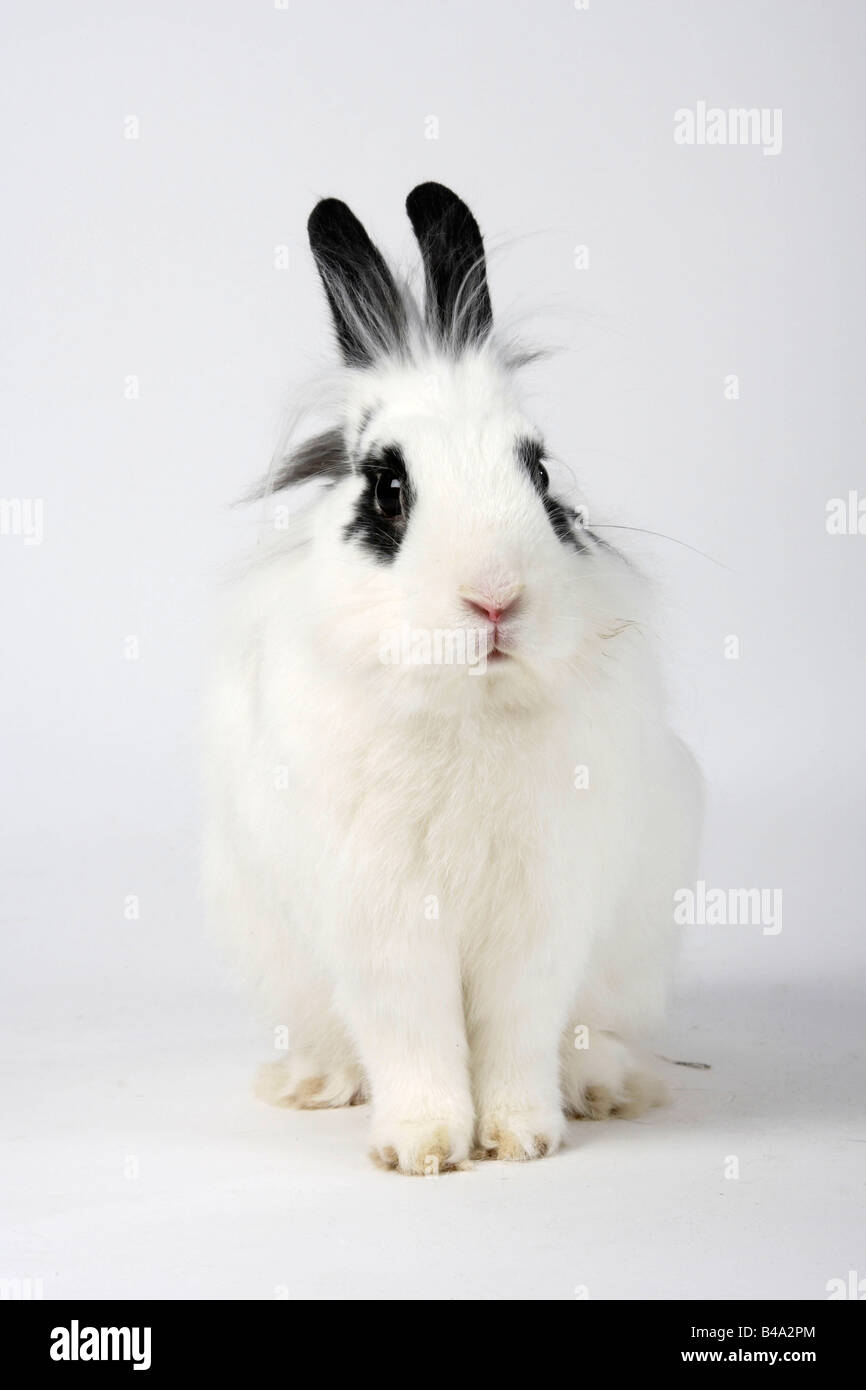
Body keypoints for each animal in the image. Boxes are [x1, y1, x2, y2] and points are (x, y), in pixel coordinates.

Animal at [204, 182, 706, 1173]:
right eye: (387, 490)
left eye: (541, 474)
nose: (495, 598)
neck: (465, 705)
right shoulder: (382, 916)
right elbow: (414, 1035)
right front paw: (424, 1146)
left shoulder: (543, 911)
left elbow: (519, 1028)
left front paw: (522, 1138)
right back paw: (315, 1084)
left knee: (593, 1033)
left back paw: (603, 1091)